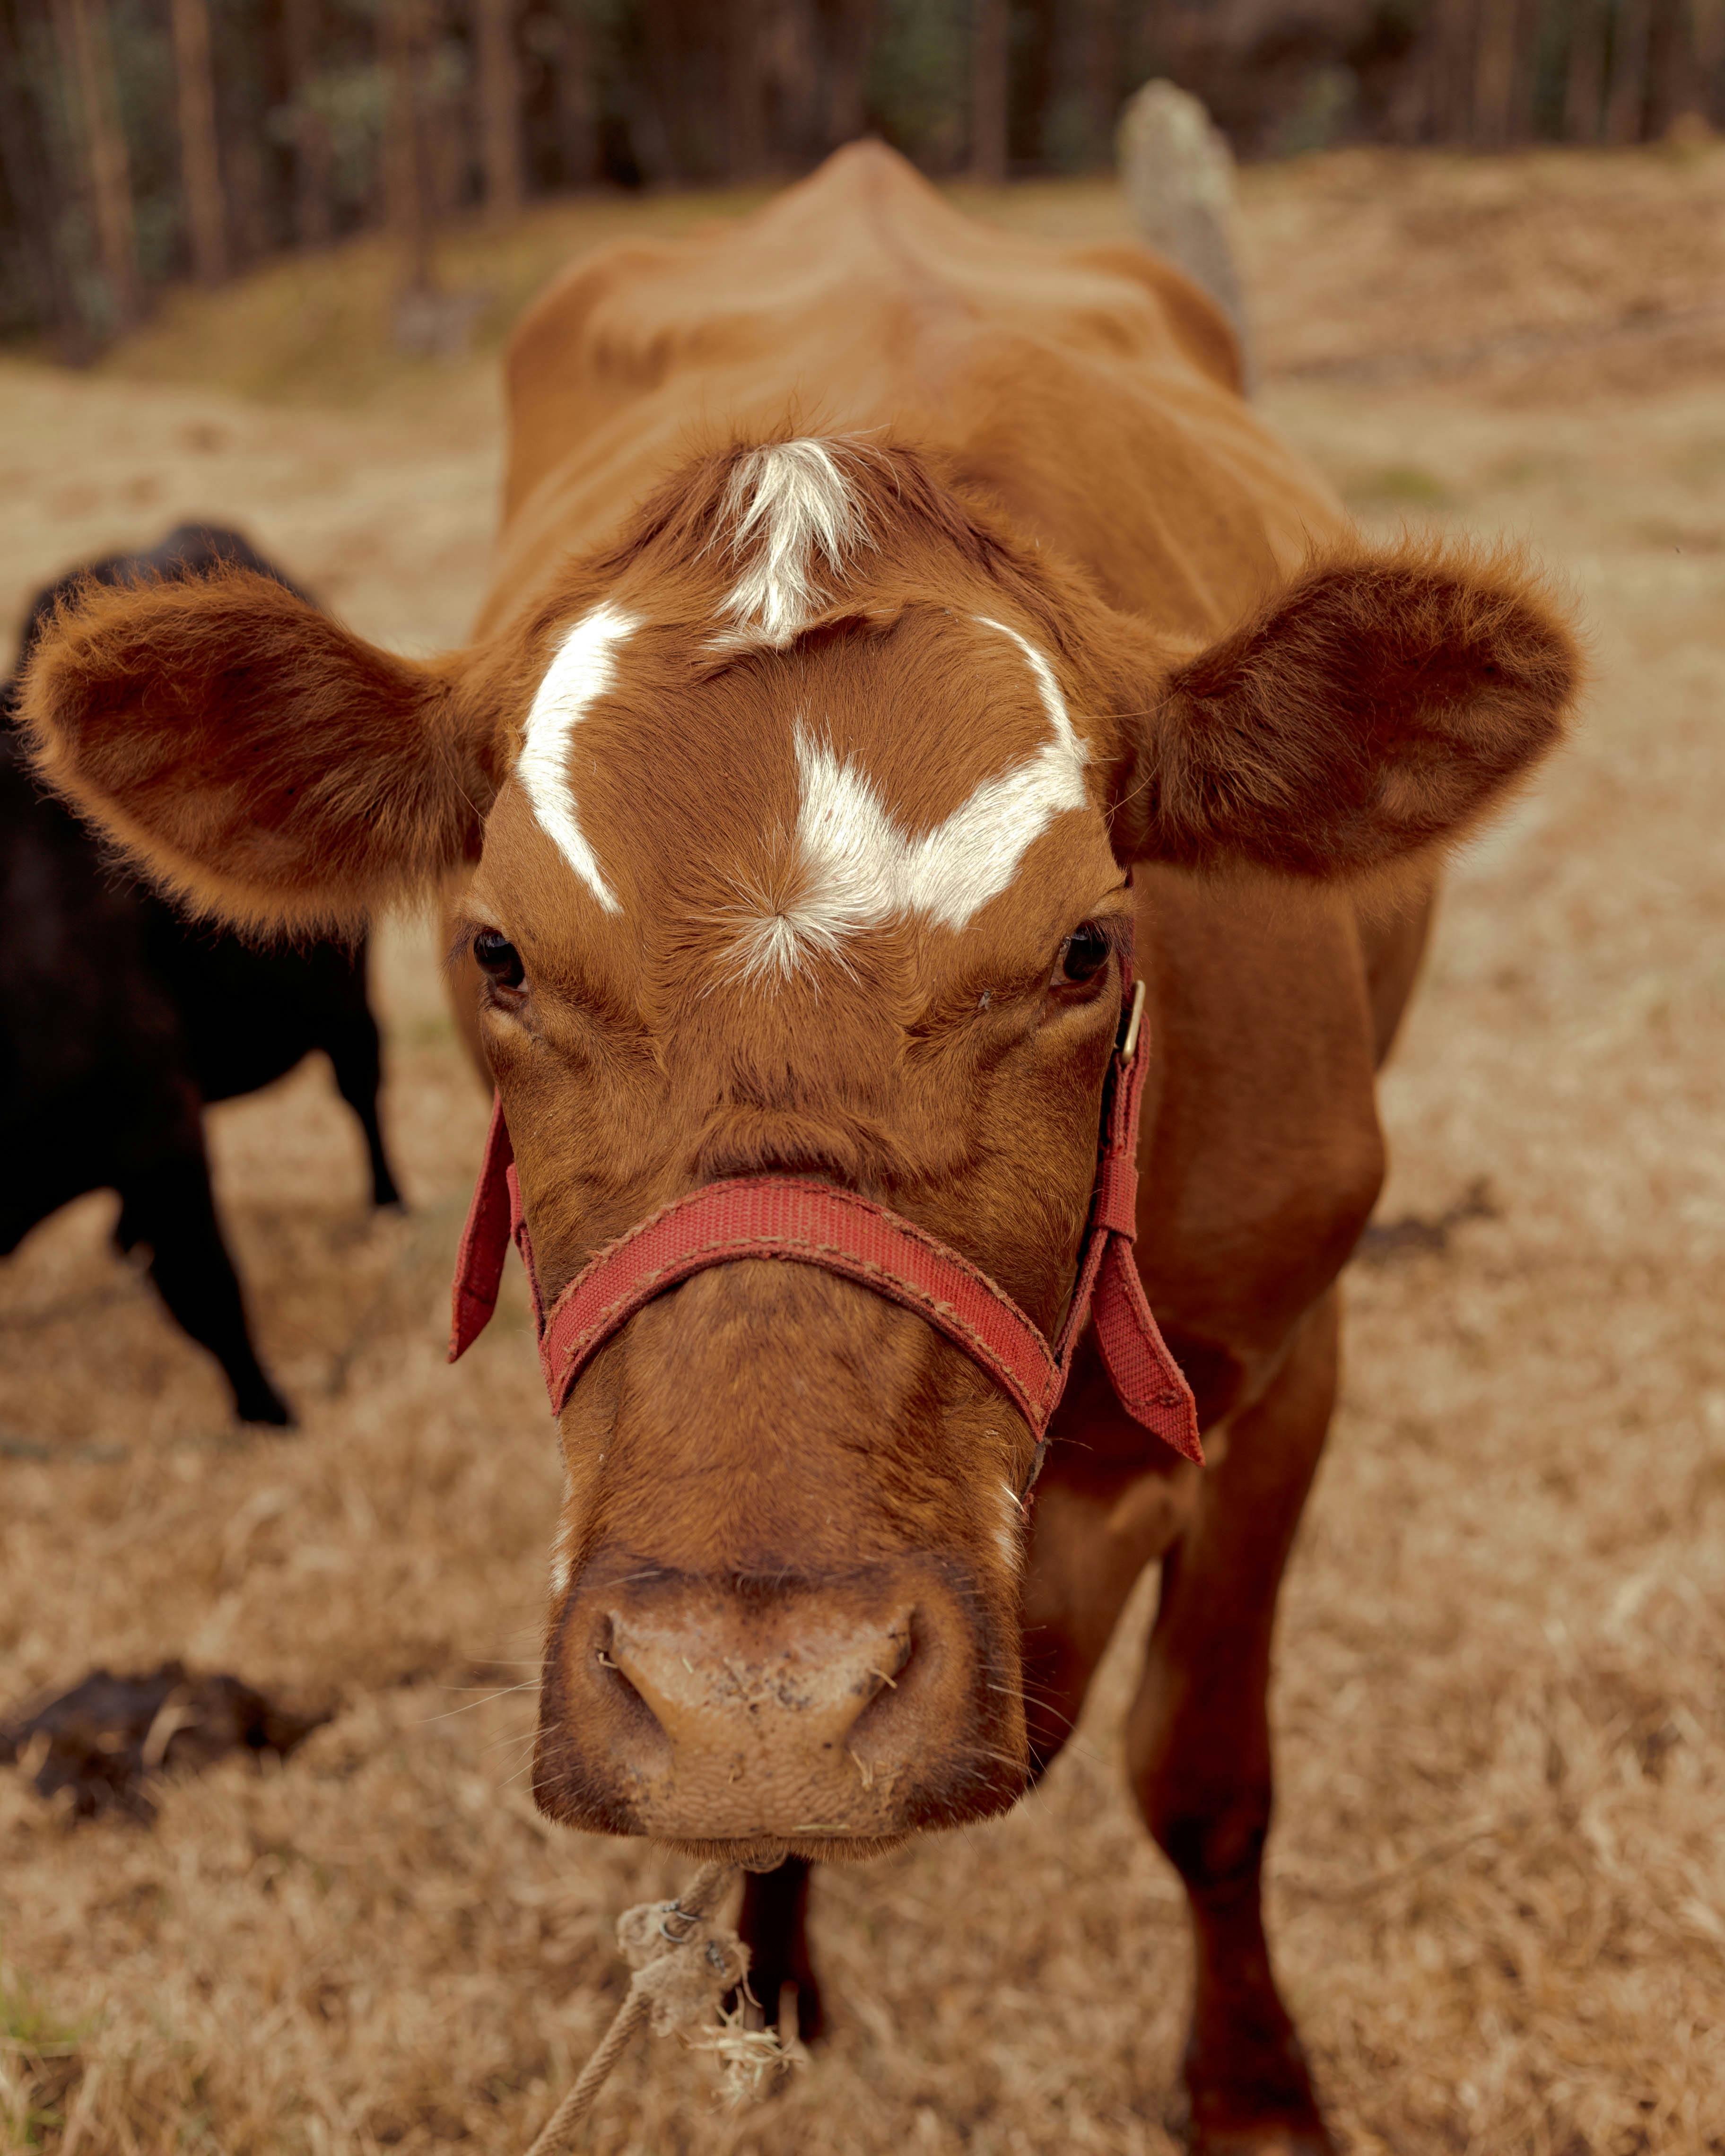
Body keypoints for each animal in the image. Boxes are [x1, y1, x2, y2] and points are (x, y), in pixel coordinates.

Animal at [5, 524, 401, 1431]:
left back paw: (388, 1205)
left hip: (342, 995)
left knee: (362, 1087)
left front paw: (270, 1415)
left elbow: (208, 1294)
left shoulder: (159, 1126)